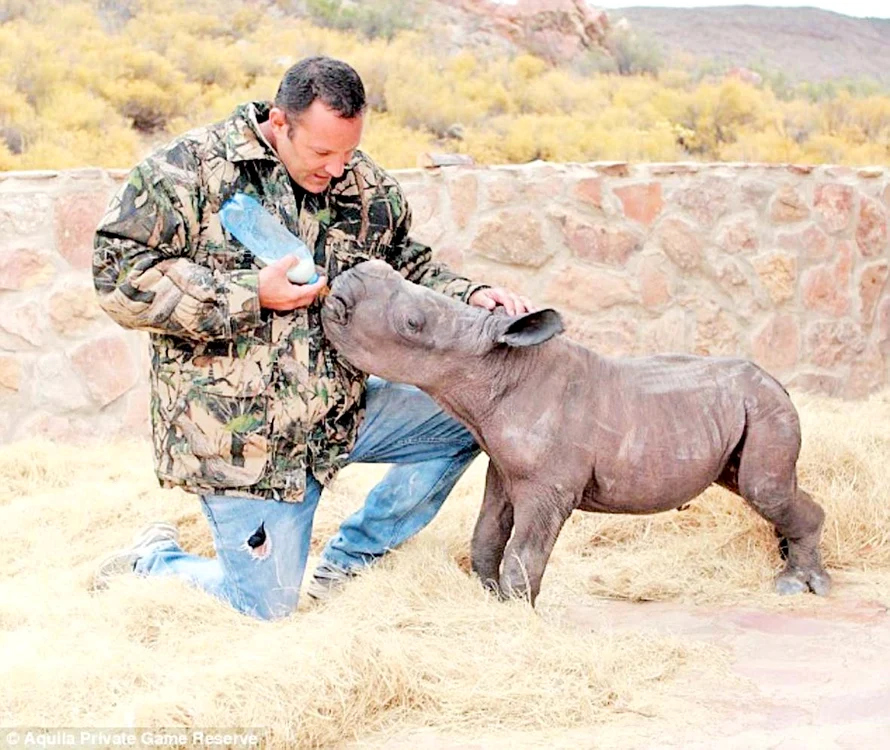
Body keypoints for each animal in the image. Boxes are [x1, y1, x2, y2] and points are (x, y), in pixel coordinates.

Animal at [321, 260, 831, 605]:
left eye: (412, 323)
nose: (345, 280)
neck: (495, 366)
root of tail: (777, 381)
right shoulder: (503, 470)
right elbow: (486, 538)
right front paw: (490, 600)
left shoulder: (549, 486)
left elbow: (523, 554)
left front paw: (518, 615)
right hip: (740, 411)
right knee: (752, 485)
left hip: (764, 407)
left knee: (764, 489)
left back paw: (799, 585)